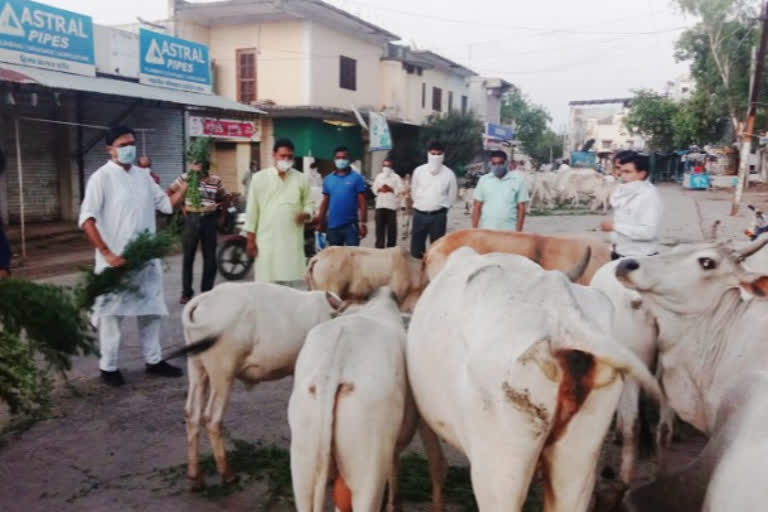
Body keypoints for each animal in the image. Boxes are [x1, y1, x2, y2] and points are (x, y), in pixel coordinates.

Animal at [172, 284, 346, 488]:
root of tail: (206, 298)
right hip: (222, 372)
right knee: (212, 419)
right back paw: (227, 474)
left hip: (197, 368)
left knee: (191, 414)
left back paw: (195, 476)